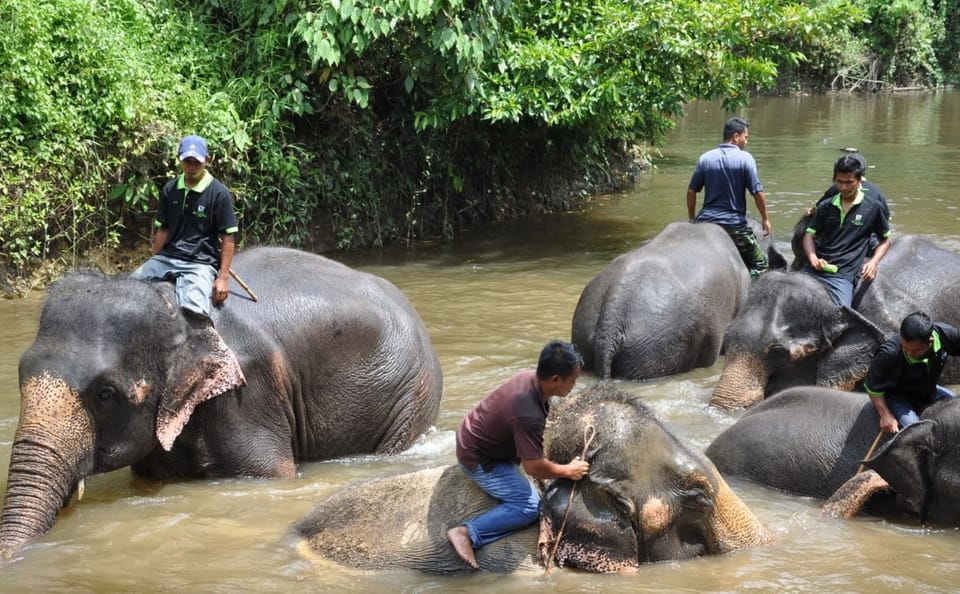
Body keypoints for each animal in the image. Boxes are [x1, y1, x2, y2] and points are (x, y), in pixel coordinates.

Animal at [0, 247, 442, 559]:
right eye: (21, 374)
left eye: (105, 394)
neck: (172, 306)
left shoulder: (247, 396)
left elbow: (270, 473)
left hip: (412, 395)